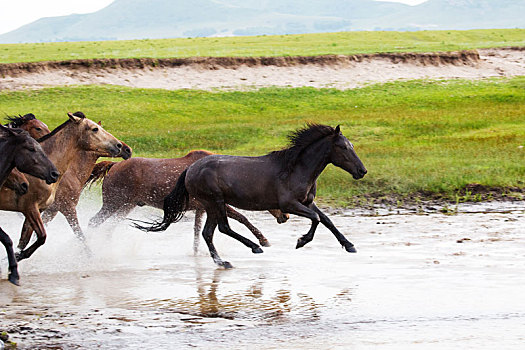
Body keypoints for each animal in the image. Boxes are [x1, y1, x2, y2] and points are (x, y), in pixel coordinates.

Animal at [0, 110, 124, 262]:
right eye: (95, 129)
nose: (120, 146)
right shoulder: (34, 208)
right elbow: (49, 236)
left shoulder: (39, 210)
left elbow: (25, 240)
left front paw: (15, 257)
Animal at [87, 149, 288, 253]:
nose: (285, 216)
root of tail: (113, 165)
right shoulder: (217, 204)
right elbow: (242, 218)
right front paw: (263, 240)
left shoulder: (202, 208)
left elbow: (197, 232)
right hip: (113, 203)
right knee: (93, 221)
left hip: (125, 206)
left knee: (108, 228)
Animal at [135, 123, 366, 268]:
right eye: (343, 147)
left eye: (352, 146)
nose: (362, 171)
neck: (296, 169)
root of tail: (190, 169)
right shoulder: (289, 204)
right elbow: (317, 219)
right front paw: (301, 241)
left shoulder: (307, 202)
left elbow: (326, 219)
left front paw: (350, 245)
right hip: (215, 201)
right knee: (223, 228)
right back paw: (254, 247)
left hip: (210, 205)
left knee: (208, 233)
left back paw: (223, 262)